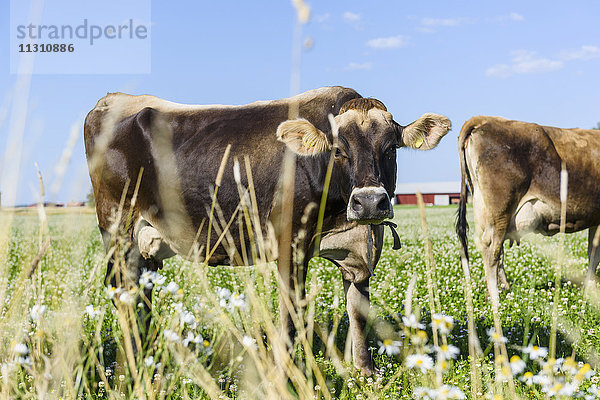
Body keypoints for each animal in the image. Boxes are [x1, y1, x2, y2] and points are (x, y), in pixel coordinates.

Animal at [85, 86, 450, 376]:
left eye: (390, 148)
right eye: (338, 150)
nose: (370, 202)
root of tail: (114, 99)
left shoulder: (359, 250)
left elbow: (358, 312)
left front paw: (365, 371)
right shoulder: (289, 243)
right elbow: (290, 315)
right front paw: (286, 374)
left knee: (140, 293)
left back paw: (147, 354)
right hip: (118, 229)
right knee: (122, 291)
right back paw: (134, 361)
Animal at [460, 115, 600, 300]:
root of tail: (486, 119)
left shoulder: (595, 220)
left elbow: (593, 253)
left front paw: (588, 289)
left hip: (484, 210)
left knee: (492, 248)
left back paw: (497, 290)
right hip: (501, 210)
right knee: (491, 247)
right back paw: (496, 299)